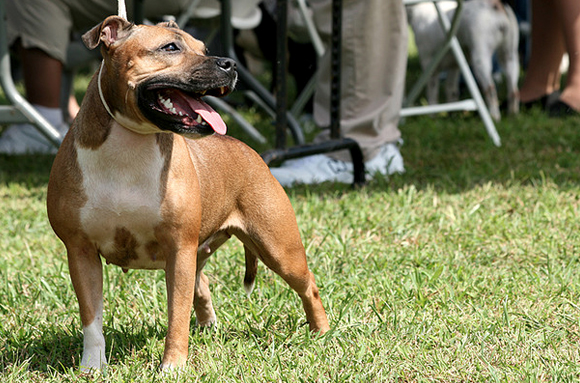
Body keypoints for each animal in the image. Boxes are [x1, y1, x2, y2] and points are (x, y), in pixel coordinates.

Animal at [47, 16, 328, 374]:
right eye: (170, 47)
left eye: (204, 49)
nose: (229, 64)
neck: (130, 143)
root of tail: (249, 150)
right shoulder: (80, 251)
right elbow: (92, 318)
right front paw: (93, 367)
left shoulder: (179, 248)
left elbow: (176, 315)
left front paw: (173, 366)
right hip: (204, 251)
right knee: (202, 285)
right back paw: (209, 327)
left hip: (279, 248)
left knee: (309, 285)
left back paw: (321, 331)